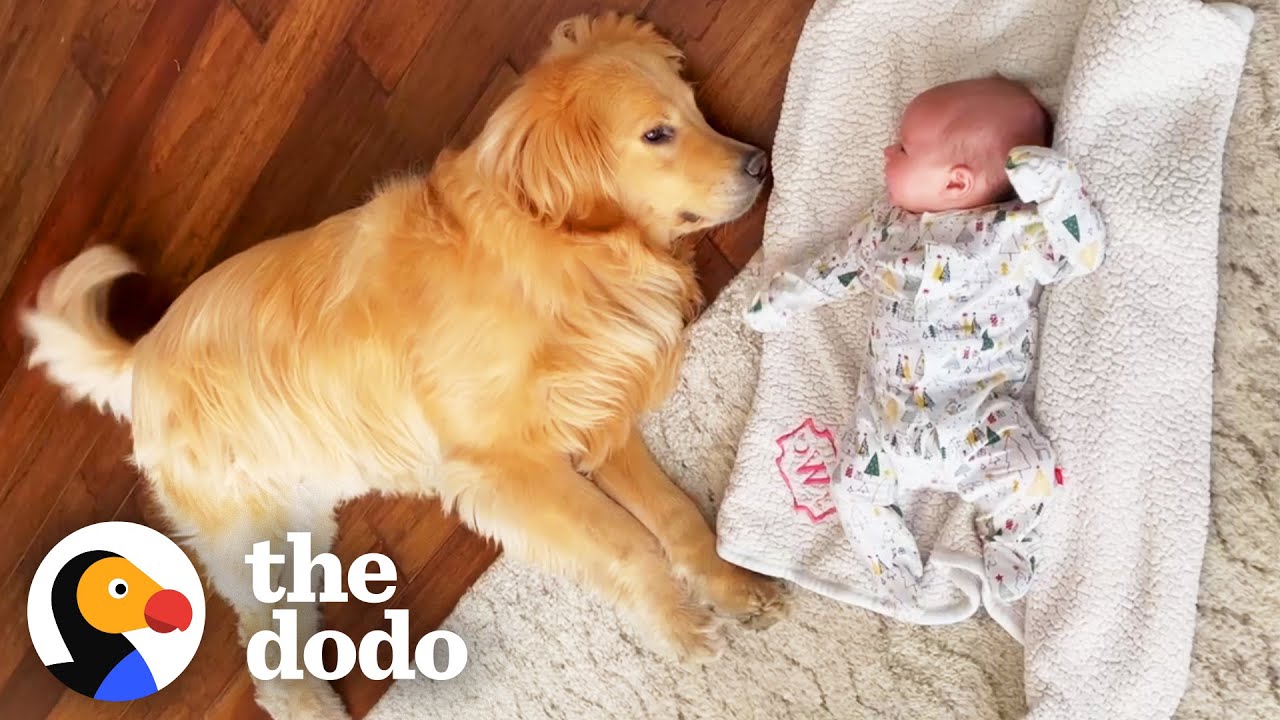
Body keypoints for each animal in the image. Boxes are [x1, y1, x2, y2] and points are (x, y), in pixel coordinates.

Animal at [20, 12, 783, 717]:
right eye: (656, 135)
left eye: (692, 105)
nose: (760, 163)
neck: (551, 250)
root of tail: (140, 359)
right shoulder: (502, 468)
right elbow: (628, 545)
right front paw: (681, 627)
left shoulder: (594, 408)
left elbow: (674, 515)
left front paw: (733, 585)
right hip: (250, 535)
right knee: (269, 658)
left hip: (302, 525)